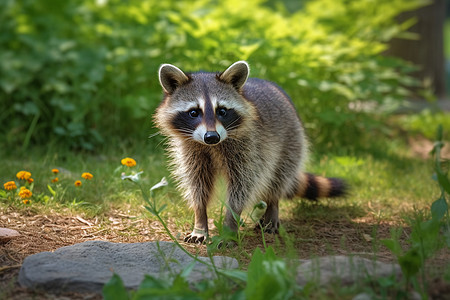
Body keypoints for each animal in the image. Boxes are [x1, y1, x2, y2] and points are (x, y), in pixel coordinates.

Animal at [153, 61, 346, 244]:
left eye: (222, 111)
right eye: (193, 112)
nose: (212, 137)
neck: (212, 146)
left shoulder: (250, 148)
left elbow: (242, 187)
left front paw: (229, 227)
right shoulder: (191, 151)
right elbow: (197, 186)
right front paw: (200, 220)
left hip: (291, 141)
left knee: (279, 177)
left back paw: (272, 208)